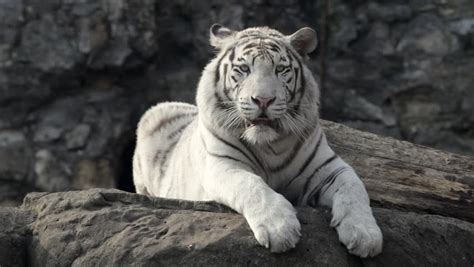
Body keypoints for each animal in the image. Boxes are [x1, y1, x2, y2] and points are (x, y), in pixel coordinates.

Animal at [131, 24, 384, 258]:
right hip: (155, 114)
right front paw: (280, 229)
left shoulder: (329, 168)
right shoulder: (222, 165)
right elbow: (252, 185)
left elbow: (354, 188)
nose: (263, 100)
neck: (270, 145)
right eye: (244, 68)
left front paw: (365, 235)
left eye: (280, 69)